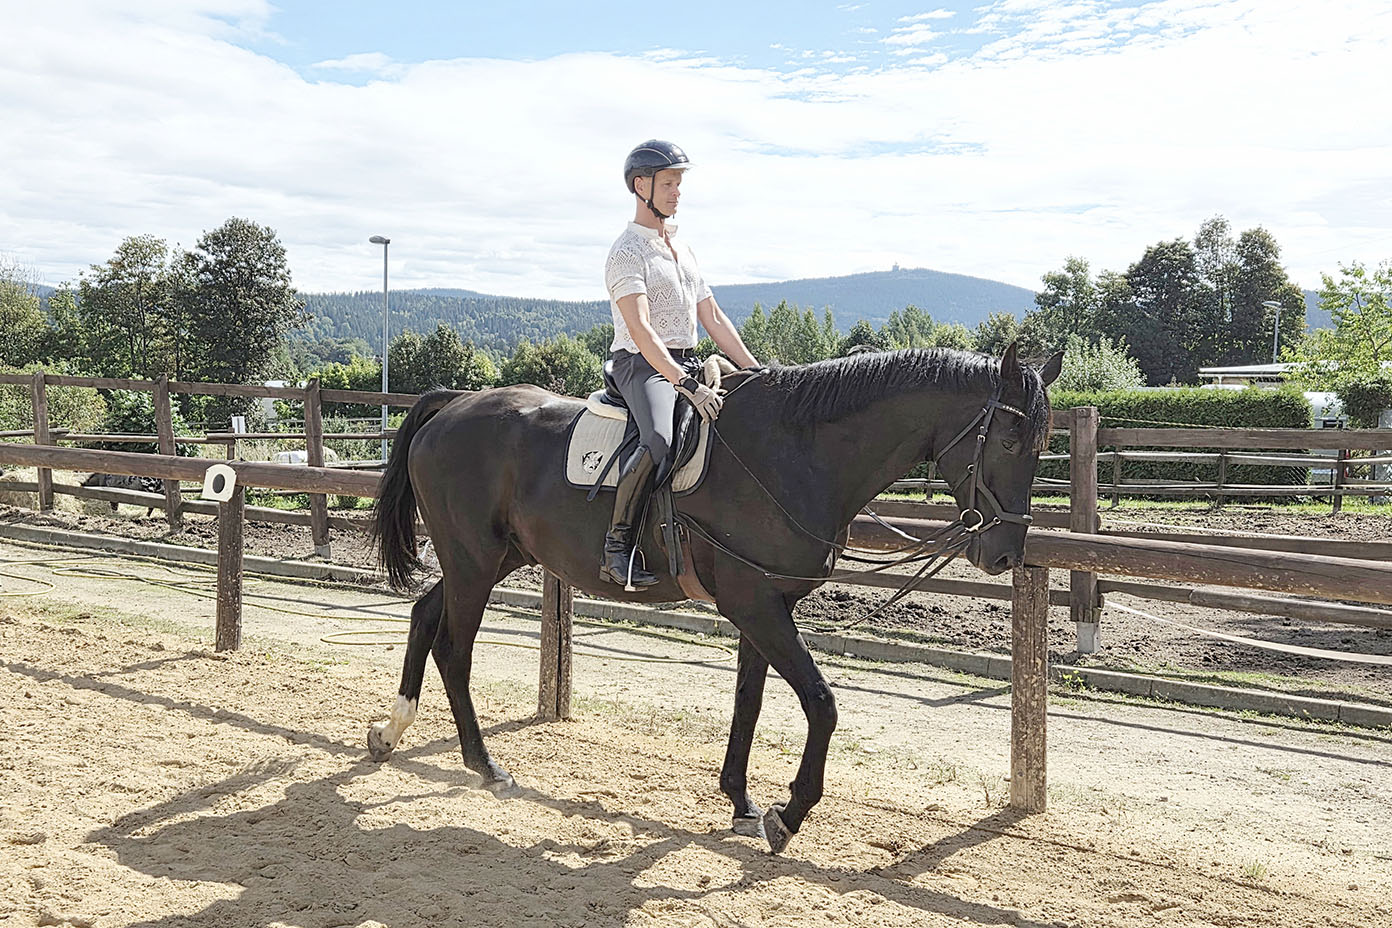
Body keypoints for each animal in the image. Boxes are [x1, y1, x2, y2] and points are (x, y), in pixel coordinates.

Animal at [368, 343, 1061, 853]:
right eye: (1007, 441)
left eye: (1041, 447)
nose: (1005, 555)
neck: (794, 454)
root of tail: (455, 405)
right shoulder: (754, 603)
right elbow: (822, 703)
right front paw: (788, 814)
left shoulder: (767, 605)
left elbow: (748, 702)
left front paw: (742, 802)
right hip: (474, 561)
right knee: (454, 650)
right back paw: (485, 766)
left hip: (491, 558)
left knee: (424, 615)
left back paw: (391, 730)